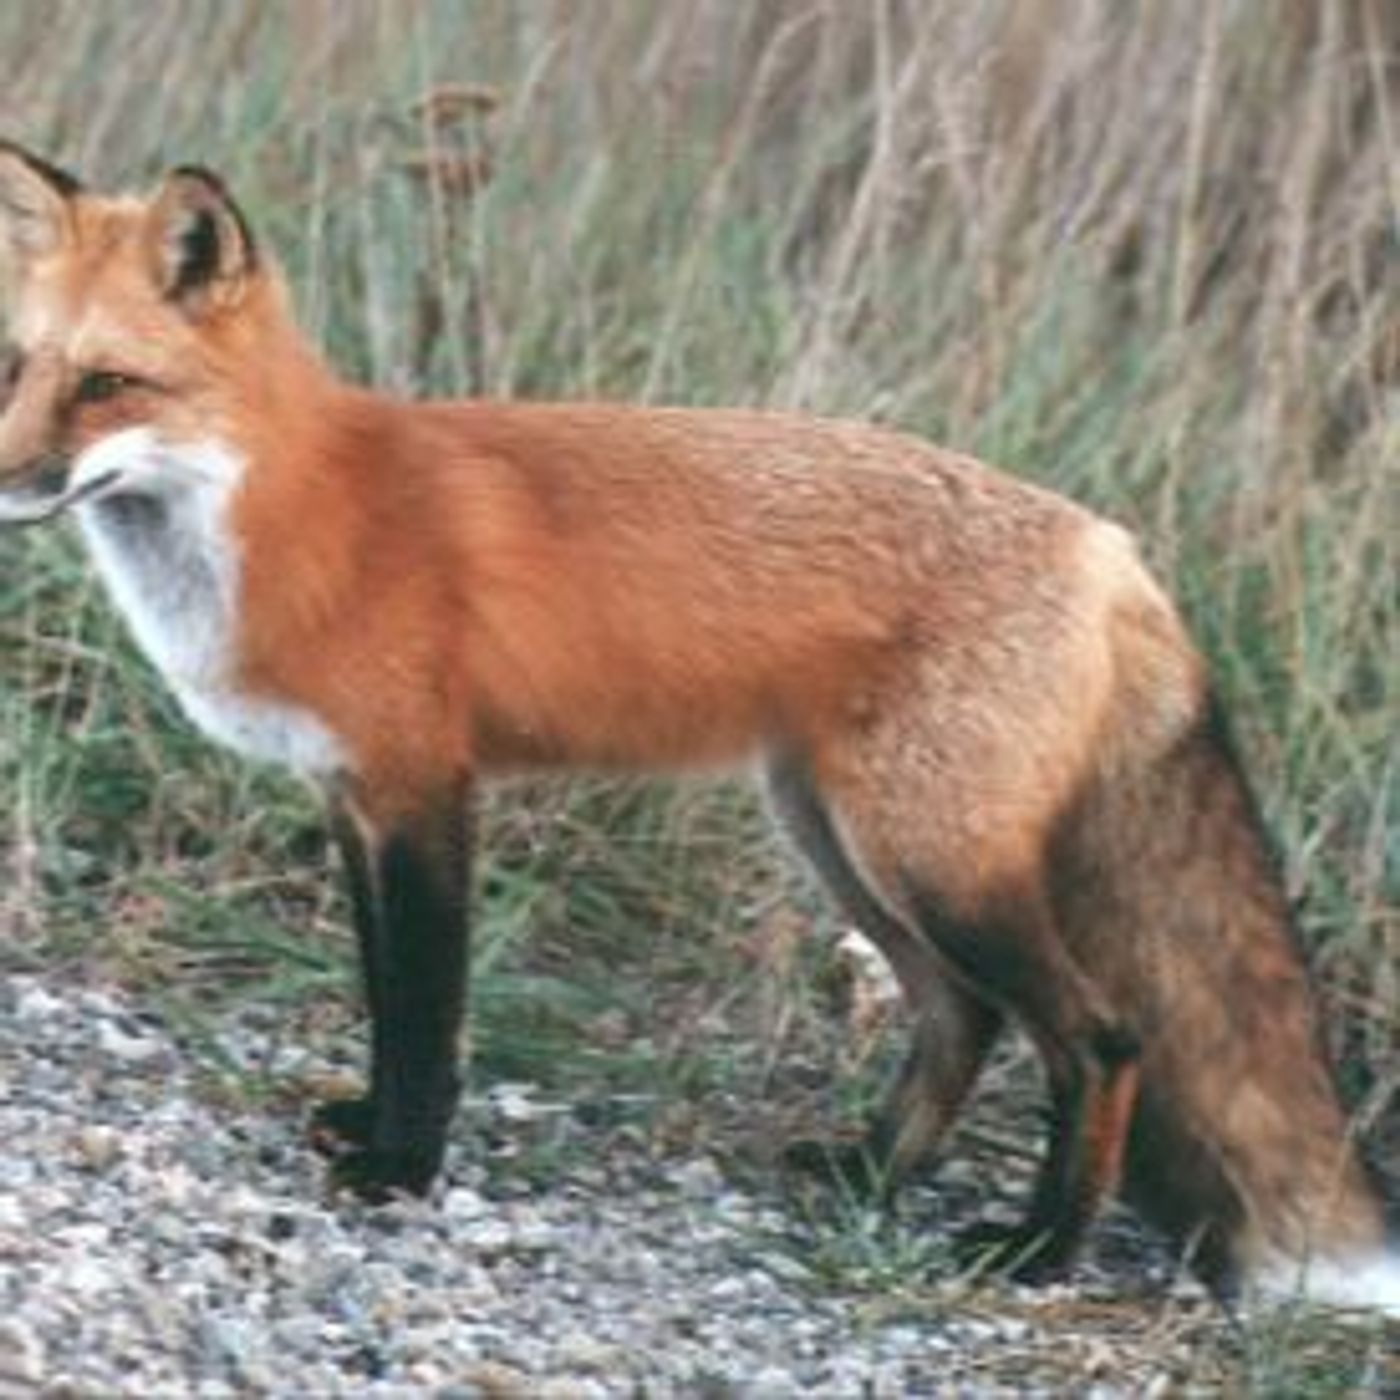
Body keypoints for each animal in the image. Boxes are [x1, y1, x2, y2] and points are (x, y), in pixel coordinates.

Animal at [0, 139, 1392, 1310]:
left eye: (109, 384)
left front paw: (401, 1166)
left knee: (1099, 1036)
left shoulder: (423, 790)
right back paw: (869, 1170)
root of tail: (1110, 545)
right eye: (17, 369)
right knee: (961, 1017)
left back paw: (1037, 1248)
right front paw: (369, 1127)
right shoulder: (349, 797)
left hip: (929, 860)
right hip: (844, 842)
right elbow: (383, 990)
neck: (287, 509)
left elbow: (426, 1006)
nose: (4, 483)